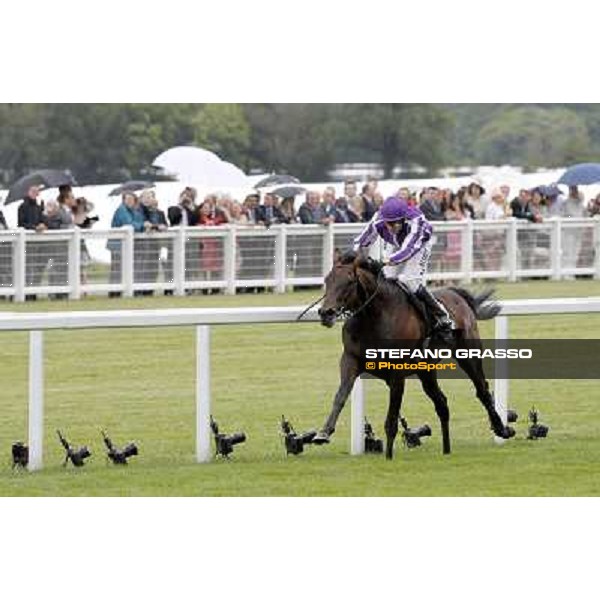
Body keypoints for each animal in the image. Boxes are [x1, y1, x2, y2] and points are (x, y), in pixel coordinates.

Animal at [312, 252, 512, 460]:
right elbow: (341, 395)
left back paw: (501, 428)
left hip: (468, 355)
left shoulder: (397, 373)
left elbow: (392, 417)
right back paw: (446, 449)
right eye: (327, 279)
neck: (375, 316)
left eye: (349, 281)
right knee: (442, 404)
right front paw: (323, 433)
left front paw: (389, 457)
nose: (326, 312)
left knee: (482, 389)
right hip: (426, 371)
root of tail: (457, 295)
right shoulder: (350, 360)